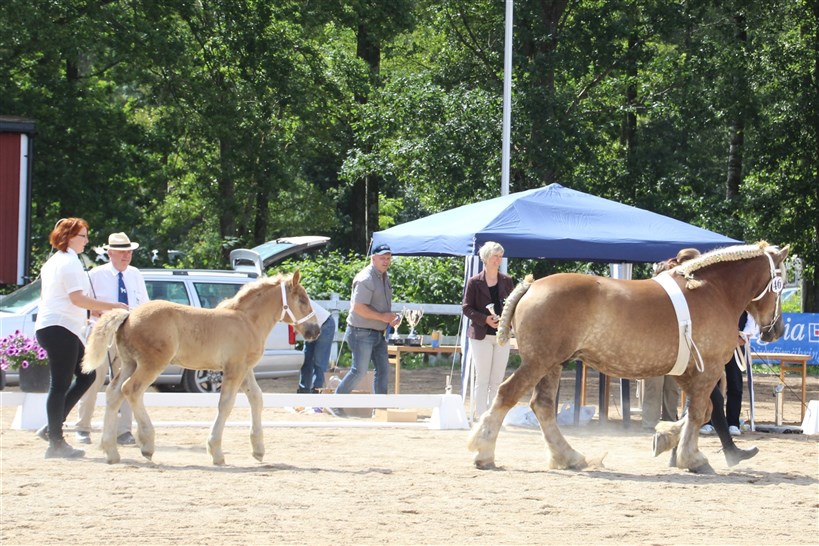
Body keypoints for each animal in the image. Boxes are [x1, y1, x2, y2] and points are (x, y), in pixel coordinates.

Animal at [80, 270, 318, 462]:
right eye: (302, 300)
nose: (315, 331)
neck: (247, 321)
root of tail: (129, 314)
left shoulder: (245, 368)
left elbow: (257, 399)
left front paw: (258, 450)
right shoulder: (234, 369)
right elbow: (226, 404)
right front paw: (216, 452)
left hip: (129, 363)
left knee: (113, 393)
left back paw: (111, 451)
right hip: (151, 364)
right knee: (131, 389)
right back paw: (147, 444)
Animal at [470, 242, 792, 472]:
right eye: (781, 284)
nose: (777, 330)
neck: (713, 292)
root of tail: (530, 287)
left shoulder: (688, 372)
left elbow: (698, 413)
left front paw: (666, 440)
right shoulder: (709, 369)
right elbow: (701, 412)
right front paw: (692, 458)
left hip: (552, 364)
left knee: (543, 406)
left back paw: (569, 457)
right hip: (538, 362)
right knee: (507, 394)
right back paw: (484, 452)